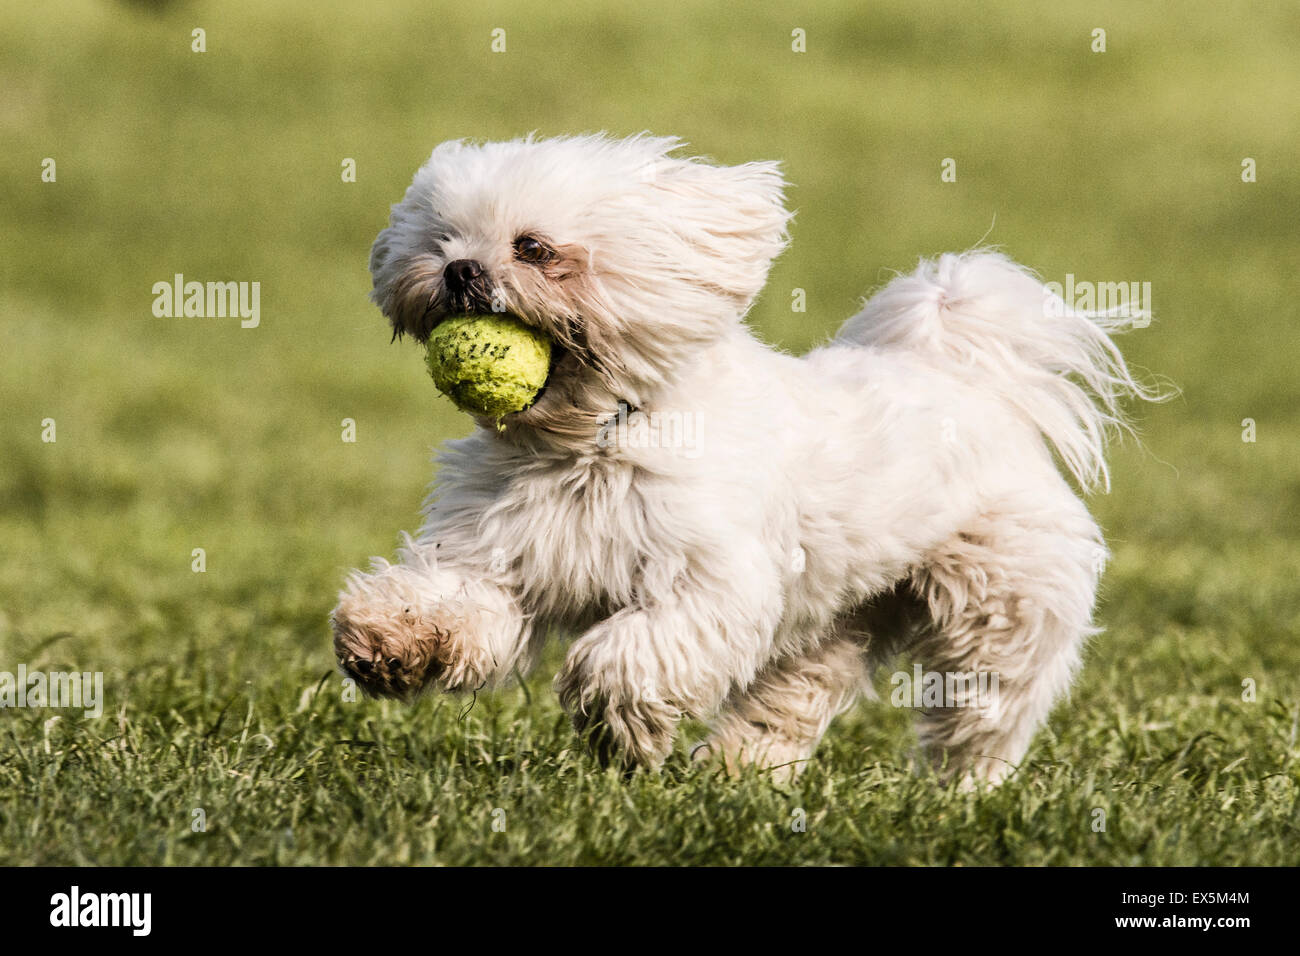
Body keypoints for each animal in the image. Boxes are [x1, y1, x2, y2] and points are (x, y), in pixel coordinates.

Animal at [330, 134, 1154, 785]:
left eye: (533, 246)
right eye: (441, 240)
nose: (460, 271)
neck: (592, 442)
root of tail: (973, 379)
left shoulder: (712, 583)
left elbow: (627, 657)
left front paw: (619, 730)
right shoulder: (500, 553)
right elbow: (455, 604)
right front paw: (388, 639)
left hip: (1004, 605)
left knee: (989, 707)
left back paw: (966, 789)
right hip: (837, 621)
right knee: (790, 700)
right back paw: (741, 773)